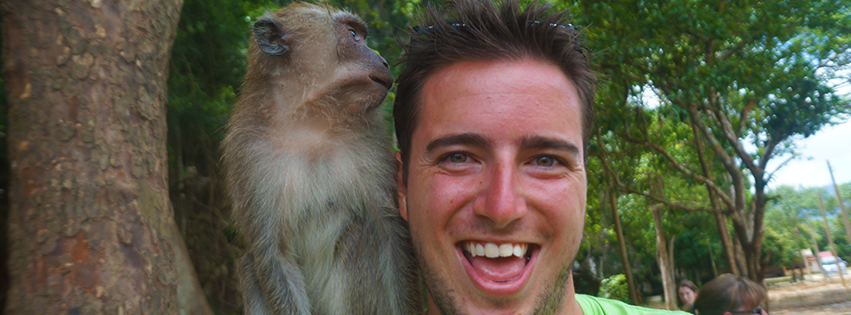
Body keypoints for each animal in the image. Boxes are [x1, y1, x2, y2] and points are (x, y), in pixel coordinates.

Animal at [220, 3, 420, 315]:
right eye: (354, 35)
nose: (384, 61)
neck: (309, 123)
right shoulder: (247, 153)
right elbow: (272, 253)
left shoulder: (370, 137)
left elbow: (389, 230)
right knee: (249, 264)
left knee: (360, 235)